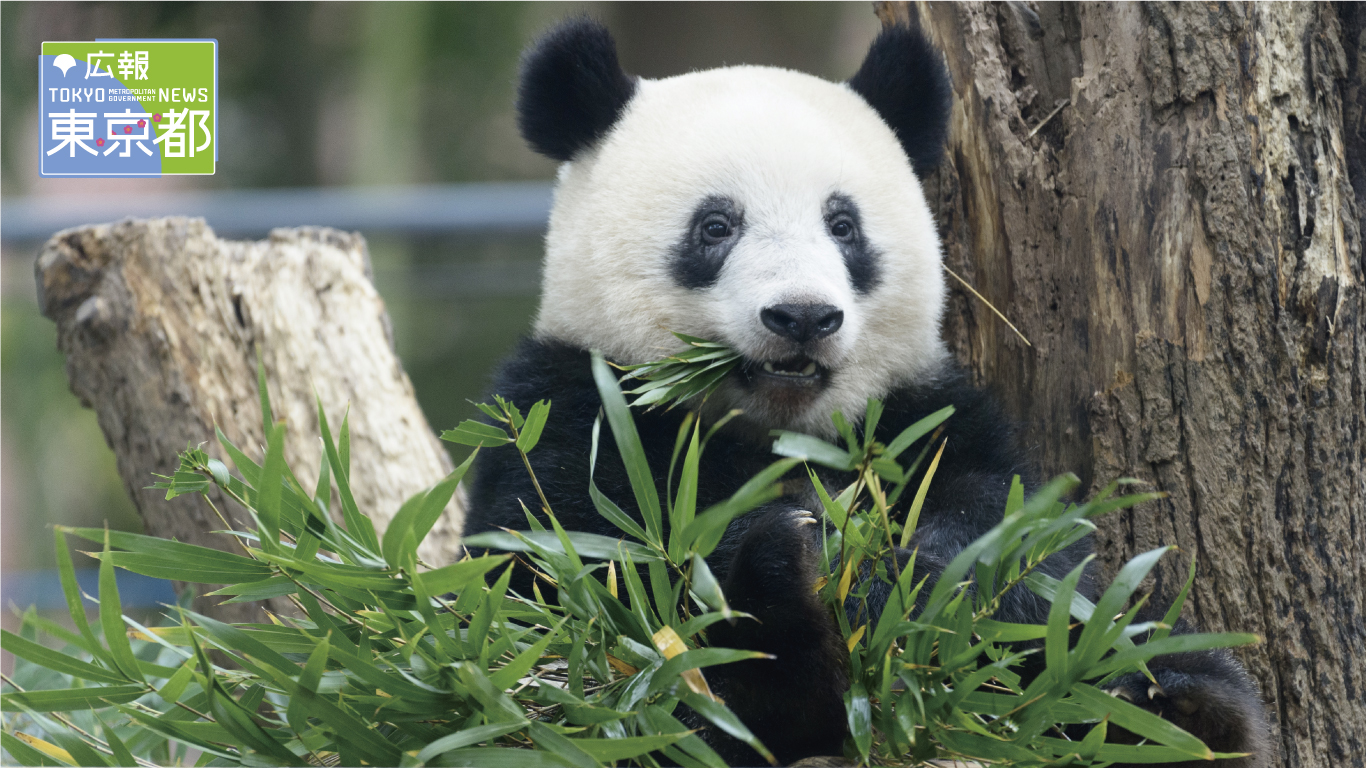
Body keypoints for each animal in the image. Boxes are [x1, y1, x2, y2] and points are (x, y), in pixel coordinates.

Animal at [461, 17, 1267, 765]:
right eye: (716, 226)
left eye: (843, 224)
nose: (802, 317)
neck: (777, 429)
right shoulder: (576, 416)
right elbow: (587, 586)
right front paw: (803, 559)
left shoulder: (923, 414)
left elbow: (1018, 540)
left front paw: (912, 574)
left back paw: (1185, 710)